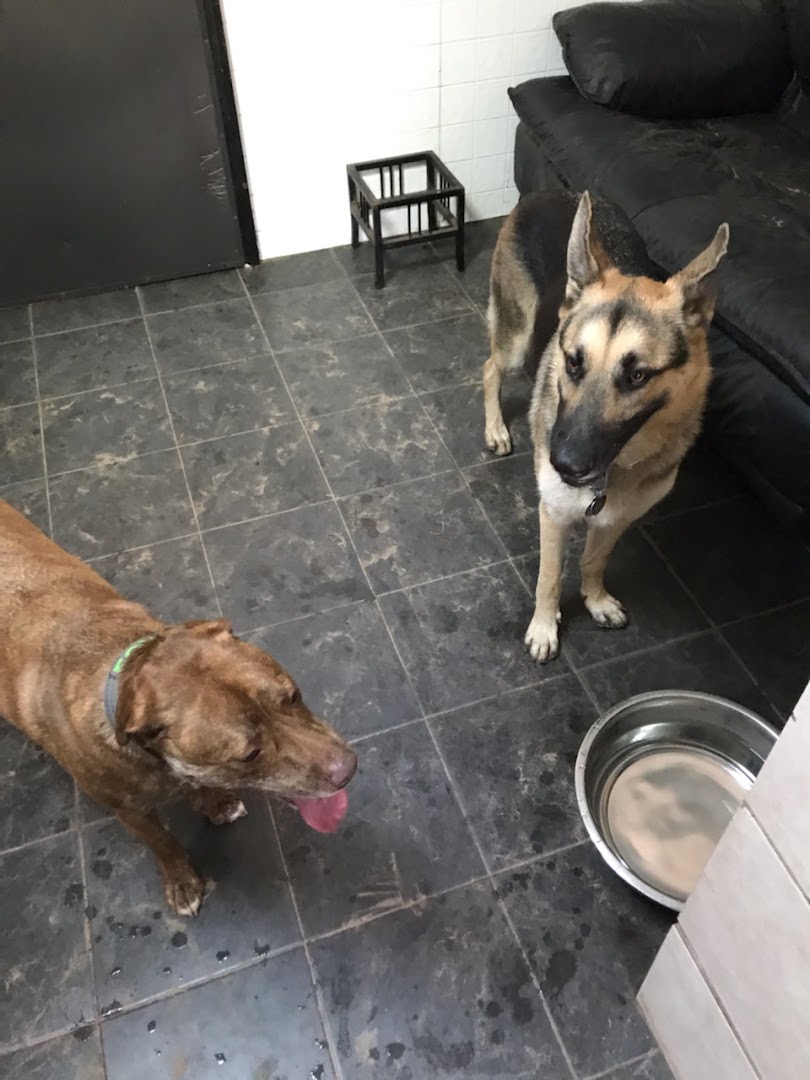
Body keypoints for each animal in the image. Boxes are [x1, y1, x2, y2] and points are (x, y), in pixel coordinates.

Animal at [0, 500, 357, 915]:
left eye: (294, 696)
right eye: (250, 754)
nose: (348, 769)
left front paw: (214, 803)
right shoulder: (130, 812)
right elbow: (163, 842)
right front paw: (182, 881)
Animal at [483, 190, 729, 661]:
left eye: (638, 375)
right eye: (574, 362)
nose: (564, 465)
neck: (616, 468)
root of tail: (547, 194)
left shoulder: (618, 519)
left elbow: (593, 561)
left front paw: (594, 600)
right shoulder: (553, 514)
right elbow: (548, 579)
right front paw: (544, 628)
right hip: (516, 337)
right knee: (490, 368)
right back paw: (495, 428)